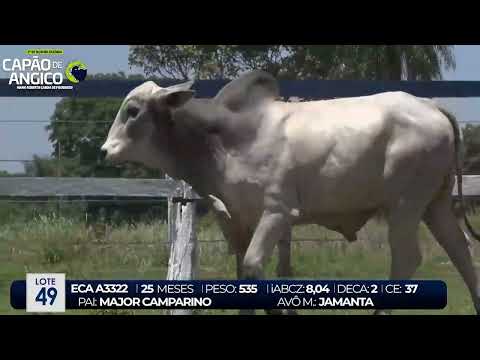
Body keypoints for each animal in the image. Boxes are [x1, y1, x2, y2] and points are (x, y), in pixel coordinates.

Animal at [101, 70, 480, 316]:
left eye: (132, 111)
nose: (106, 150)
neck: (226, 138)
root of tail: (431, 106)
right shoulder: (236, 221)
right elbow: (243, 275)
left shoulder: (276, 213)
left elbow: (254, 268)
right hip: (434, 204)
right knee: (461, 250)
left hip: (405, 204)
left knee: (407, 257)